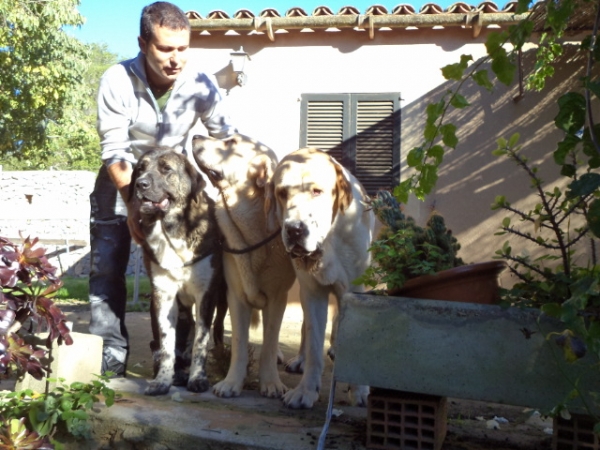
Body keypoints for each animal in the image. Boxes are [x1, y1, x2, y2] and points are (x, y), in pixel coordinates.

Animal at [130, 146, 226, 396]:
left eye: (166, 170)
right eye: (140, 168)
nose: (140, 184)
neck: (172, 230)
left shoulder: (206, 295)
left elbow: (201, 342)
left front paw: (198, 378)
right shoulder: (163, 296)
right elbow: (166, 343)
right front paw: (163, 380)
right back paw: (178, 374)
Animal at [264, 149, 372, 410]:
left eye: (316, 191)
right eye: (282, 193)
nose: (294, 230)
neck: (328, 239)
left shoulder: (355, 291)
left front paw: (359, 390)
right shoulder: (312, 291)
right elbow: (314, 343)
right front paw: (306, 390)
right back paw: (301, 359)